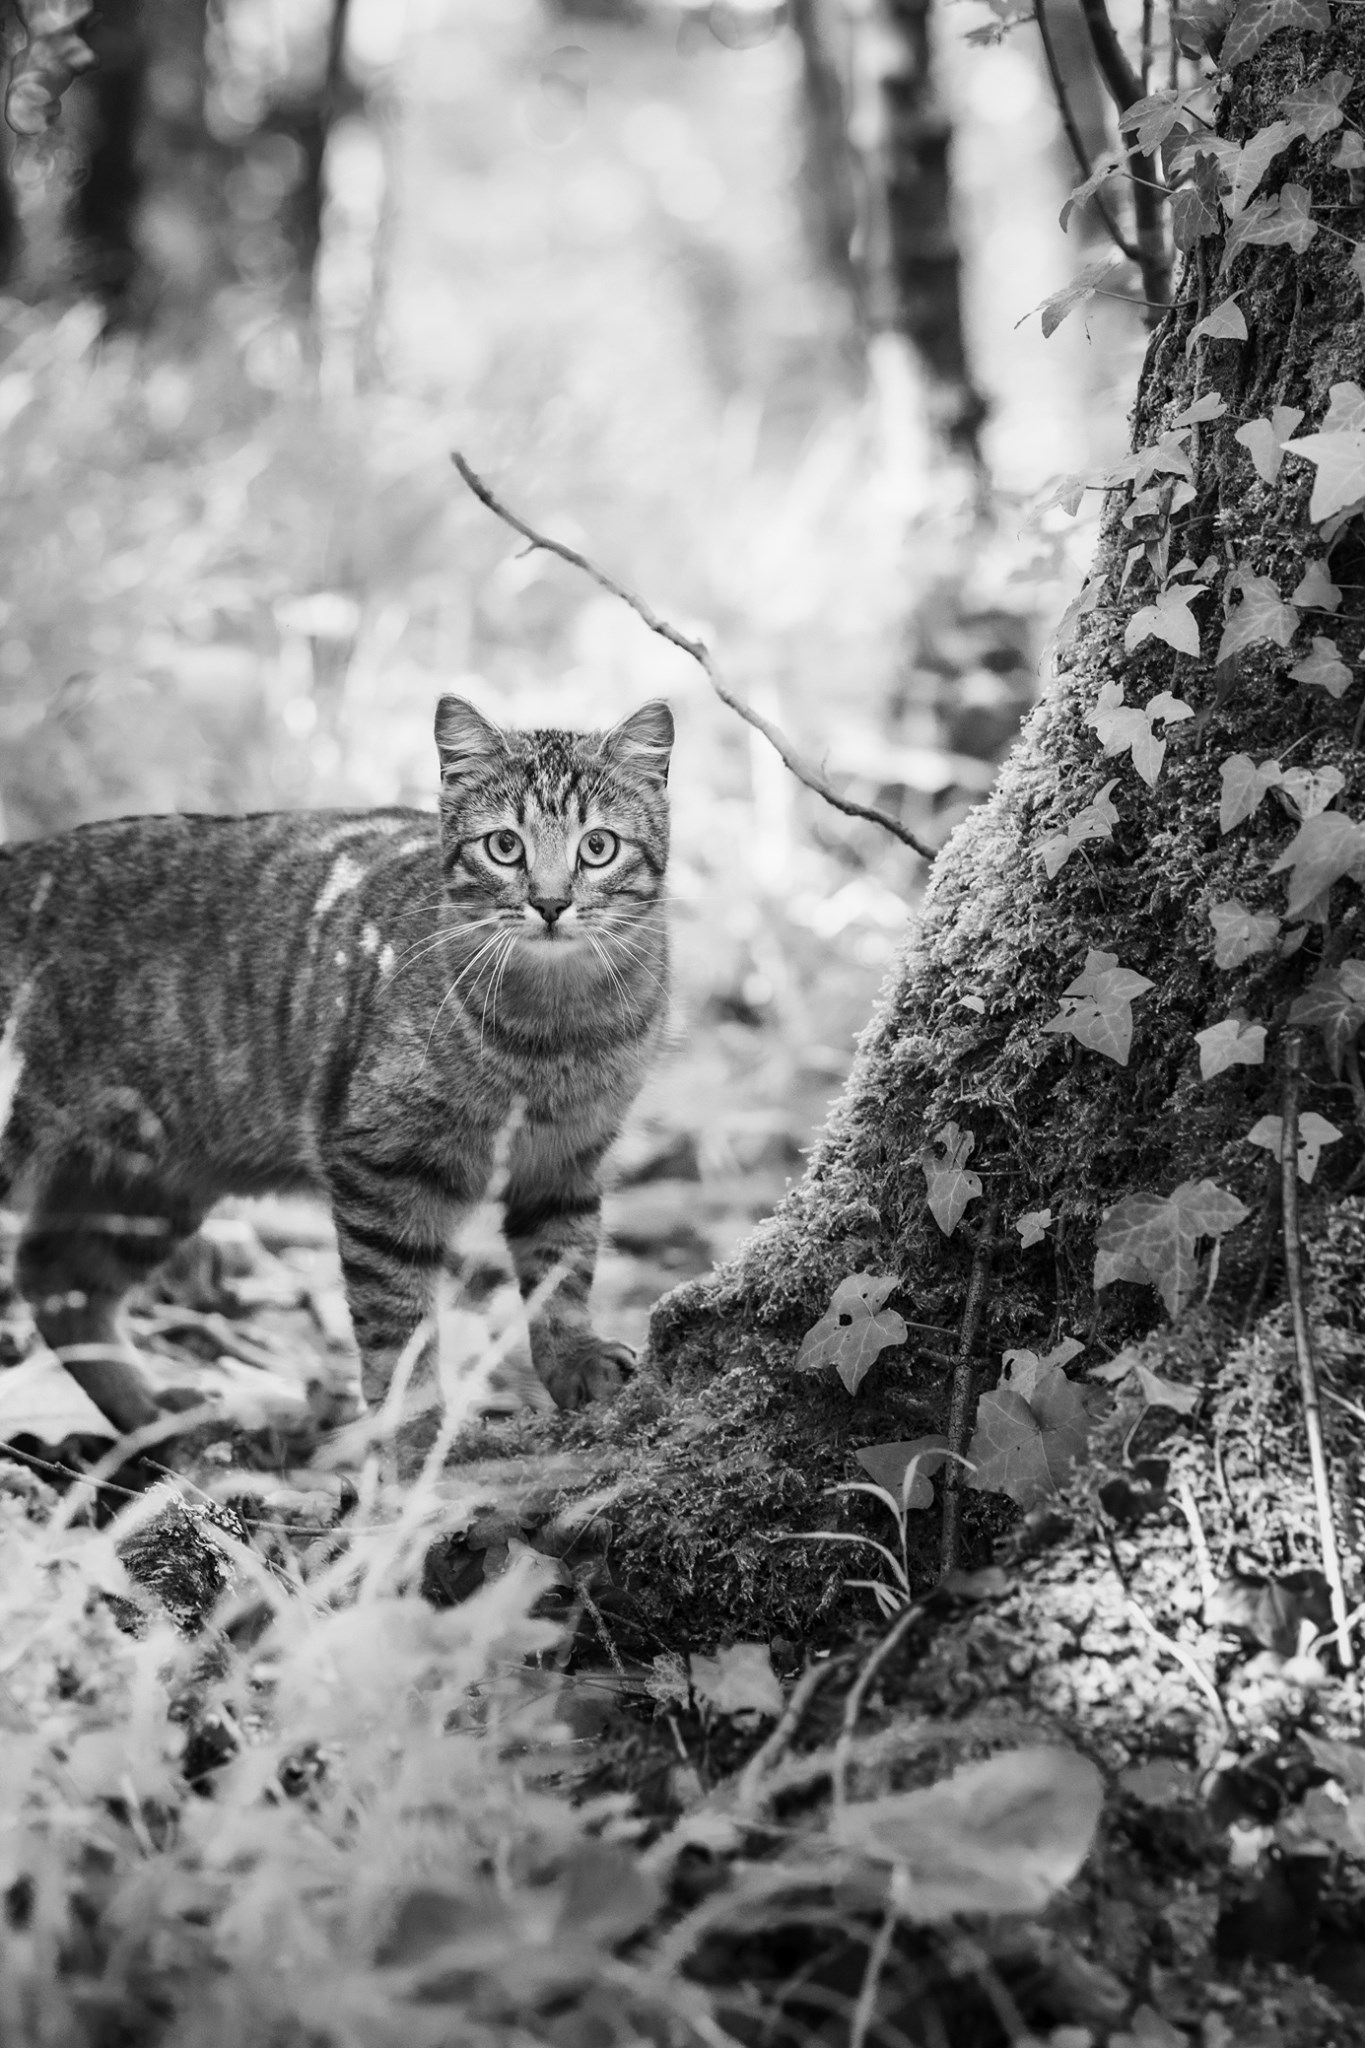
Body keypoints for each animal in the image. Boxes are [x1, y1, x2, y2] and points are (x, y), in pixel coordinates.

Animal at [0, 696, 671, 1433]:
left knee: (55, 1279)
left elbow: (563, 1269)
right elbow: (397, 1327)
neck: (554, 1036)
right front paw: (414, 1434)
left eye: (598, 847)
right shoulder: (381, 1168)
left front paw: (573, 1357)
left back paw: (152, 1416)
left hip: (142, 1183)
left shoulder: (567, 1160)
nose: (550, 904)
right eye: (504, 846)